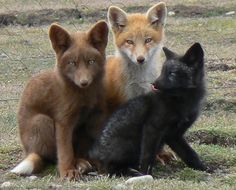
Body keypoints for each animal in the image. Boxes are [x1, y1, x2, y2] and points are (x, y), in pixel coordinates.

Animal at [10, 20, 108, 180]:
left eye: (91, 61)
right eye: (72, 63)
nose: (84, 82)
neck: (83, 95)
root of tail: (30, 151)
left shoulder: (90, 119)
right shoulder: (63, 121)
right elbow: (65, 151)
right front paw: (67, 171)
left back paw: (83, 163)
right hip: (43, 121)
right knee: (50, 157)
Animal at [89, 43, 207, 177]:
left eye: (172, 73)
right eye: (162, 72)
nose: (153, 84)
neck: (182, 103)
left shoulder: (174, 135)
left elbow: (189, 154)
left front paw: (203, 168)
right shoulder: (152, 128)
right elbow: (147, 155)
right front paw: (146, 174)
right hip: (131, 144)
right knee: (111, 169)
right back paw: (132, 172)